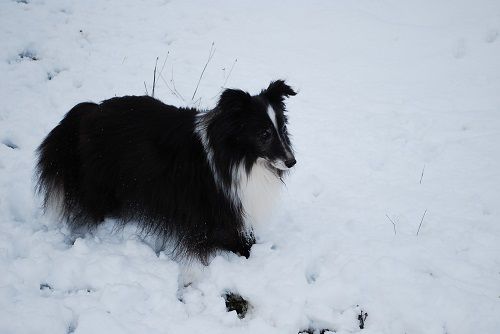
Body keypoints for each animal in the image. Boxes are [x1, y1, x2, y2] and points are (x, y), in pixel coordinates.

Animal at [38, 80, 296, 264]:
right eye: (264, 133)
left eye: (282, 128)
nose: (292, 162)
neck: (238, 155)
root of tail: (91, 109)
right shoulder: (213, 210)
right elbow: (232, 238)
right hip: (101, 180)